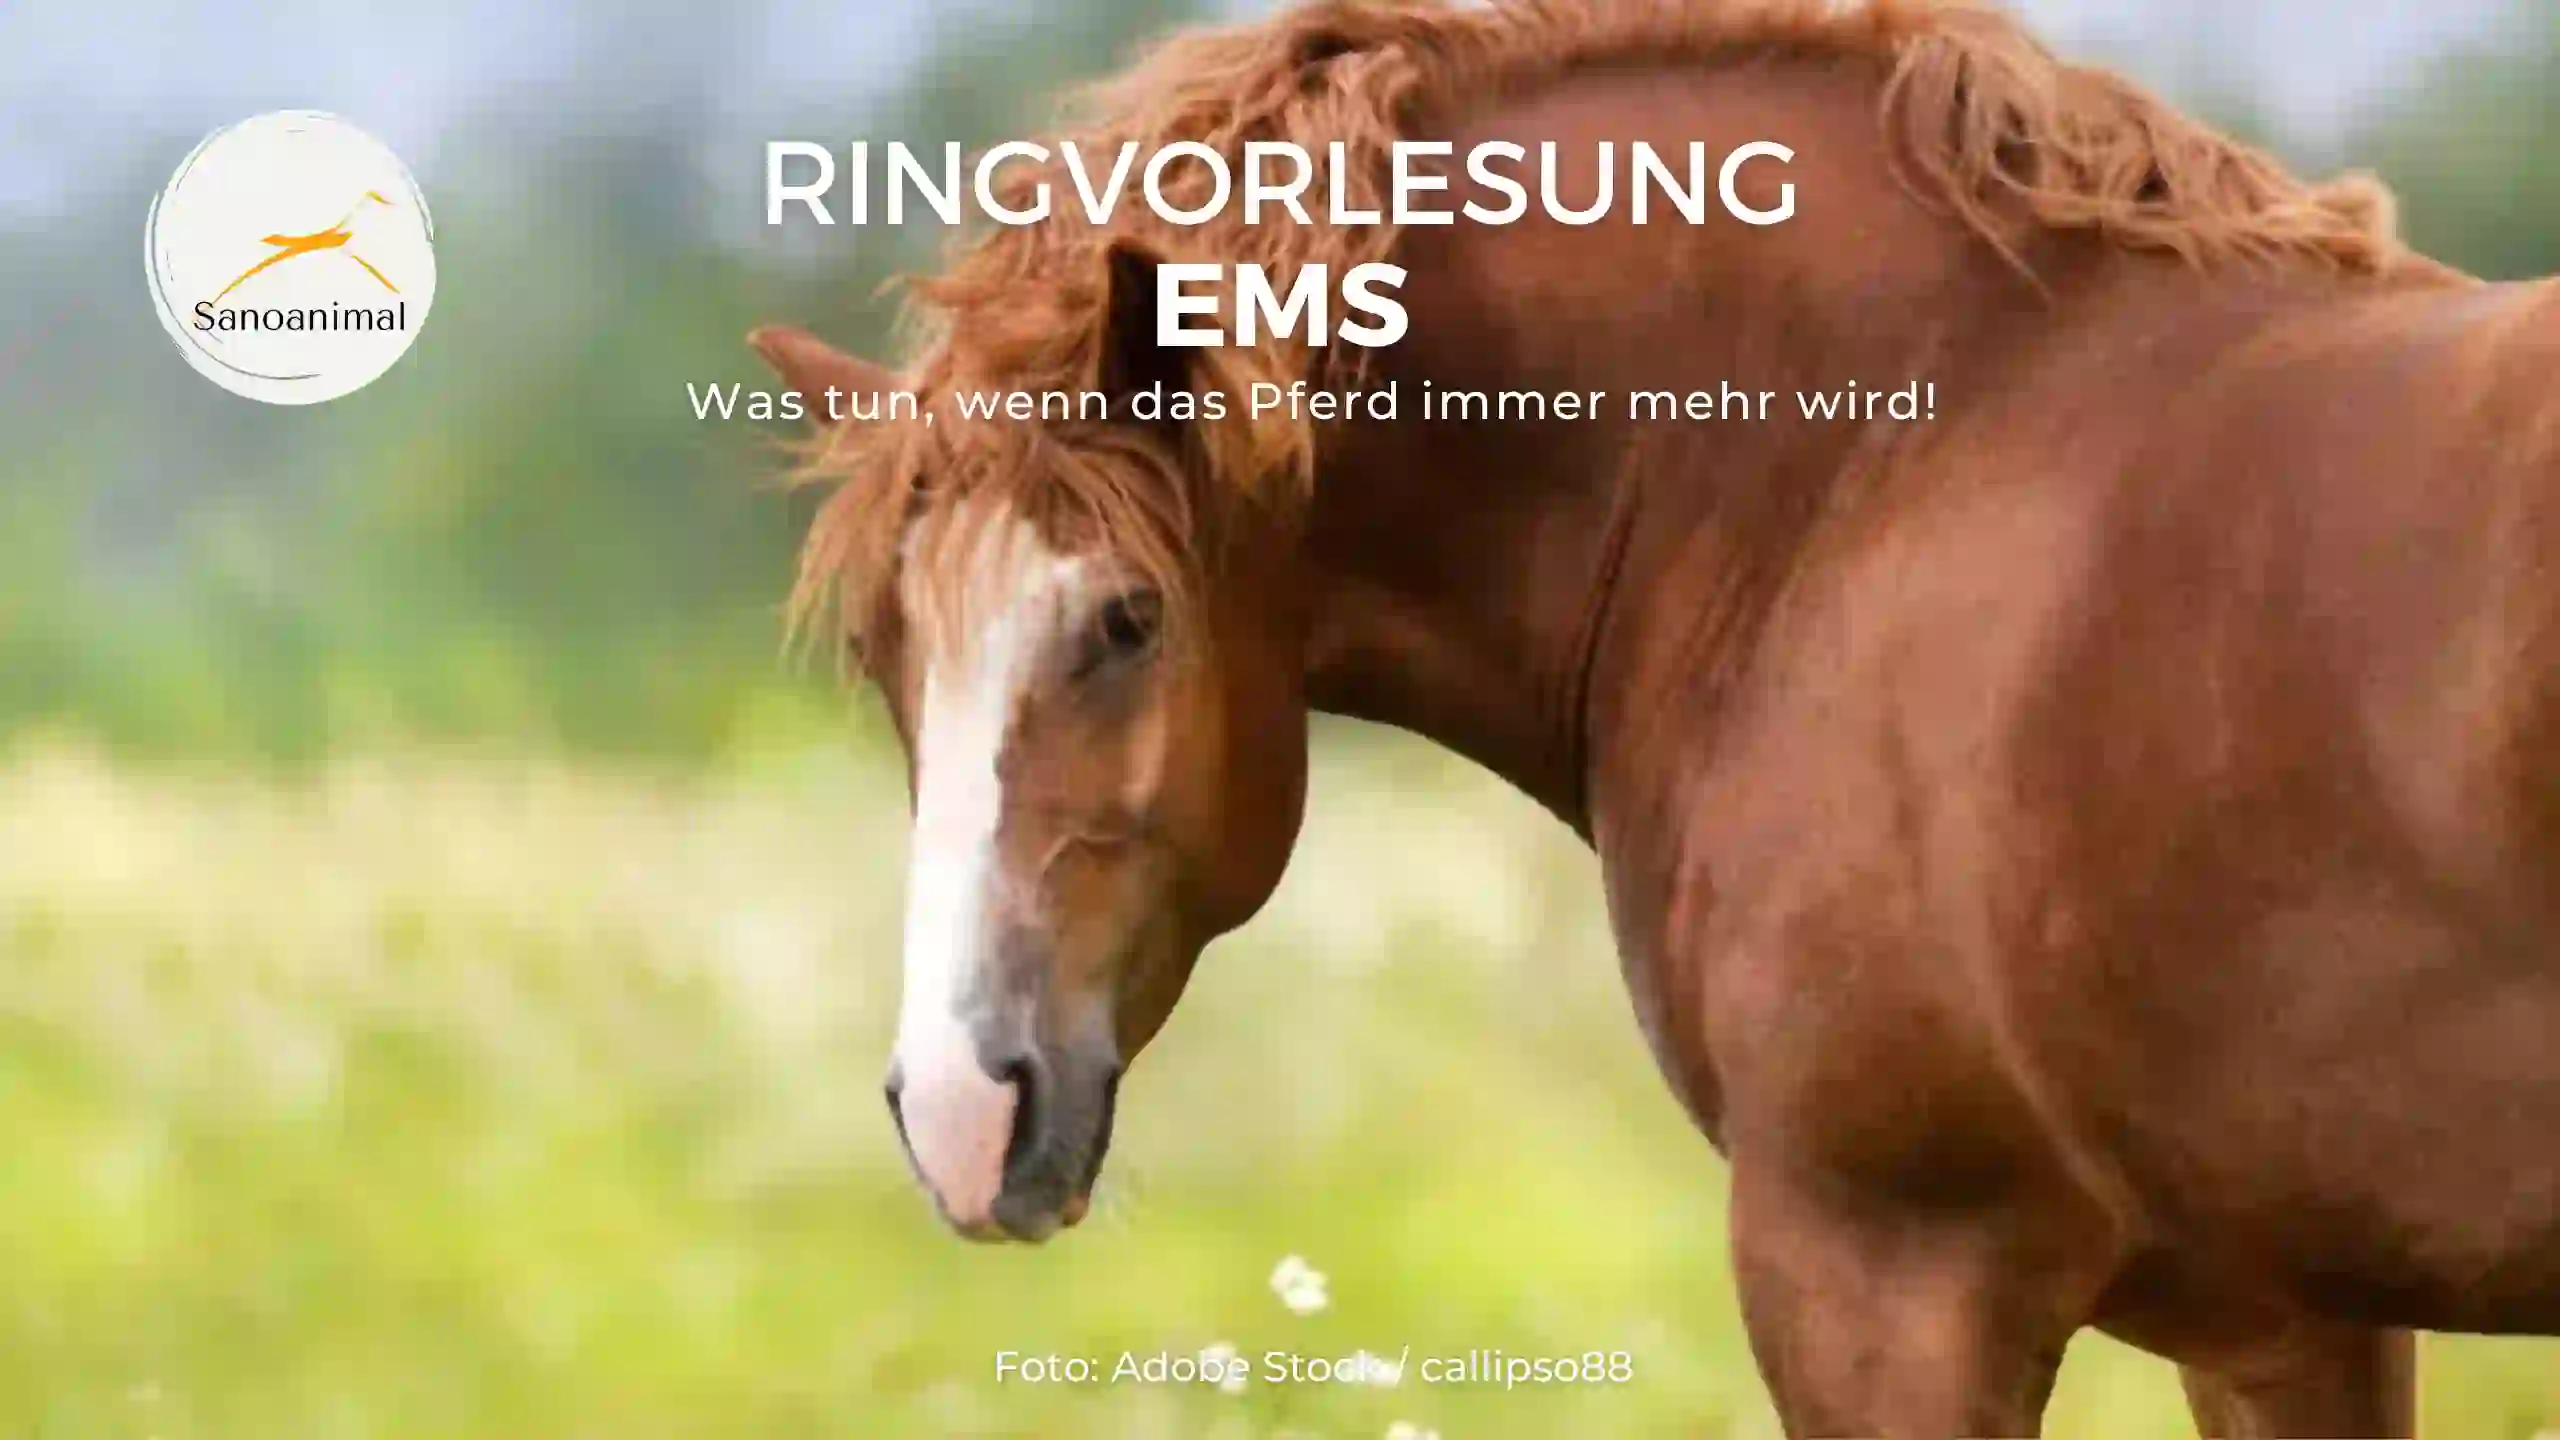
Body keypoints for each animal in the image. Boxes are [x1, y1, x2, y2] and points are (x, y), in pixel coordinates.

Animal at [747, 0, 2560, 1432]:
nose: (961, 1112)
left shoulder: (1886, 1279)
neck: (1870, 466)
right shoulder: (2288, 1319)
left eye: (1125, 621)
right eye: (886, 653)